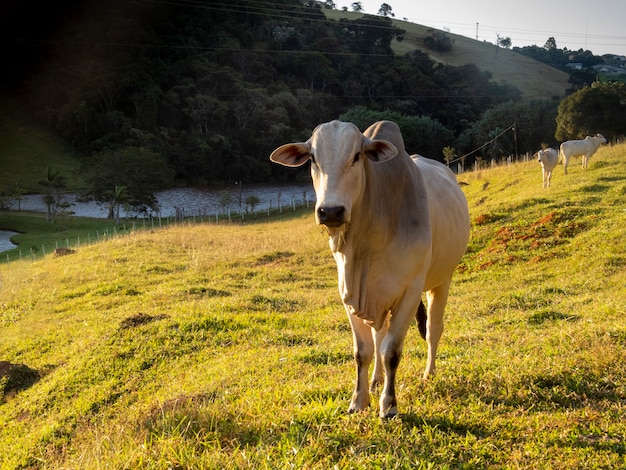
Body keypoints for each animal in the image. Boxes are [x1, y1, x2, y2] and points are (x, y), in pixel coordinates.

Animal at [268, 121, 468, 418]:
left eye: (357, 156)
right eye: (313, 158)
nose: (330, 211)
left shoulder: (410, 293)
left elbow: (391, 352)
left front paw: (389, 406)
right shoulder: (351, 296)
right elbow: (363, 351)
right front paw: (359, 401)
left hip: (442, 280)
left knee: (433, 329)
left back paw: (428, 374)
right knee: (378, 335)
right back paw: (376, 380)